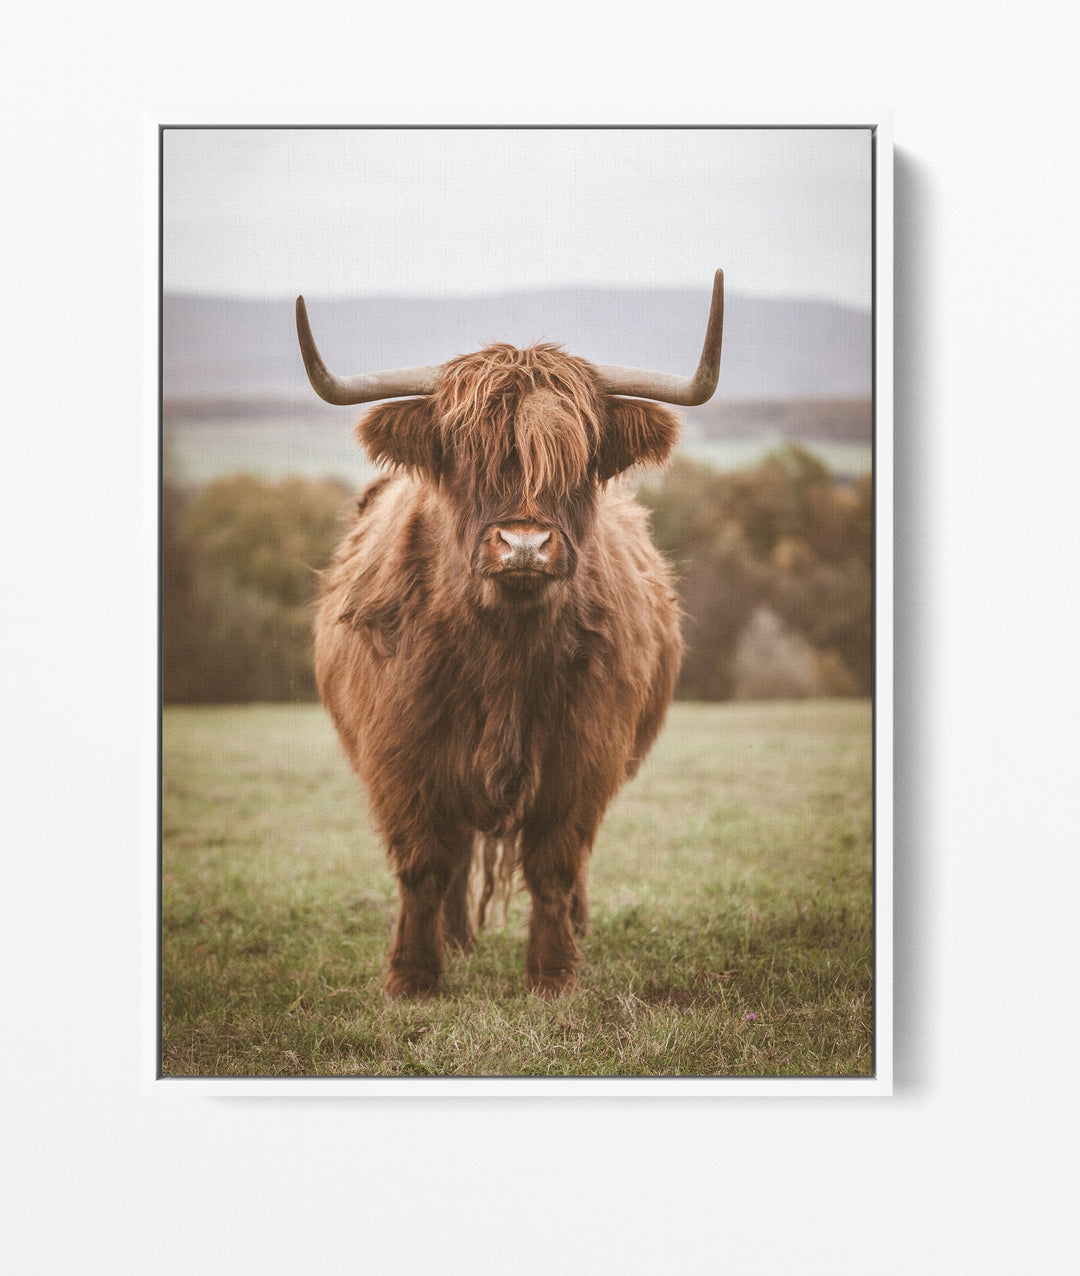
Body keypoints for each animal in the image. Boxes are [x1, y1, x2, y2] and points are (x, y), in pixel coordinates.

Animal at [296, 271, 724, 997]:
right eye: (462, 455)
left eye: (578, 459)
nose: (524, 544)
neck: (504, 651)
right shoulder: (401, 754)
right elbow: (424, 867)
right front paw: (413, 976)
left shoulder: (586, 754)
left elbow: (555, 865)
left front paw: (553, 974)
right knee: (458, 854)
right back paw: (456, 941)